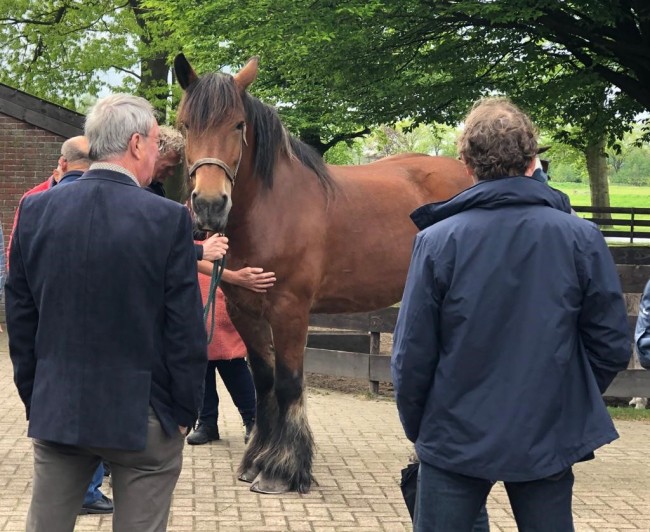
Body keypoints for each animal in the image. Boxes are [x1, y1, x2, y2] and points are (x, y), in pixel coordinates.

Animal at [175, 54, 474, 494]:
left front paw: (281, 470)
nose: (210, 206)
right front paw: (256, 459)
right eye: (185, 125)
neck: (271, 208)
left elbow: (289, 383)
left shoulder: (290, 310)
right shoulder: (245, 309)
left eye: (238, 125)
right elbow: (263, 380)